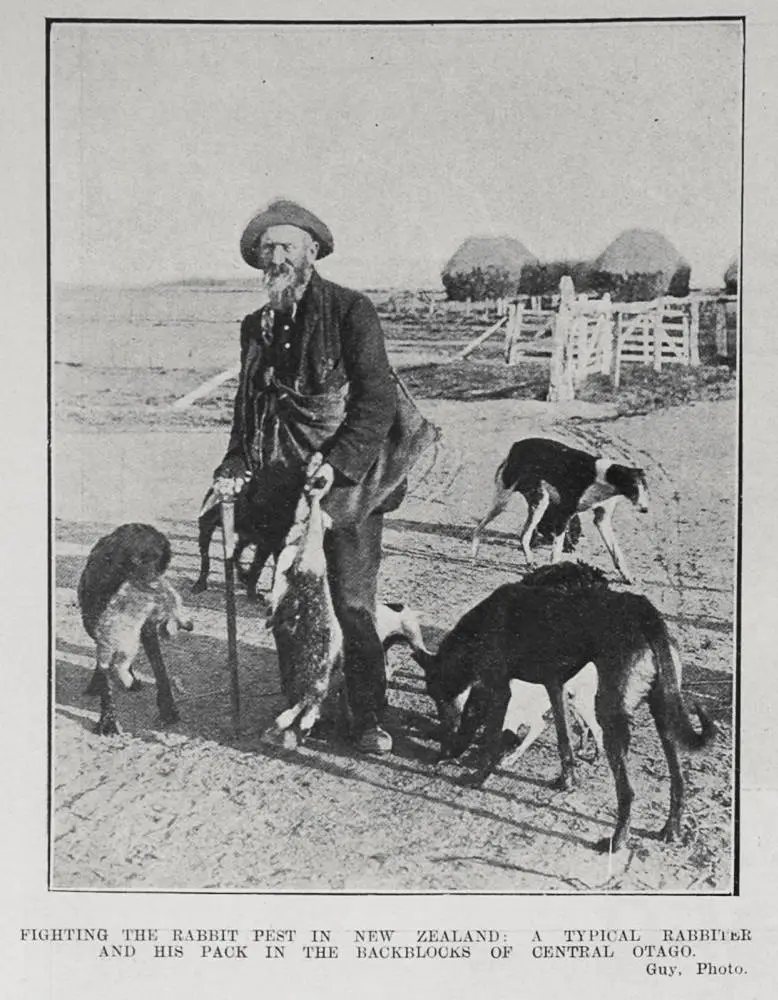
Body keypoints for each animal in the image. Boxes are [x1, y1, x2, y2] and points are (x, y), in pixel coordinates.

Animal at [416, 564, 712, 852]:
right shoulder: (554, 685)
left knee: (627, 792)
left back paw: (617, 841)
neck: (480, 623)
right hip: (664, 711)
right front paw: (566, 780)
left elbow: (490, 740)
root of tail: (644, 612)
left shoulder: (499, 689)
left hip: (611, 715)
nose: (442, 750)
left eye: (436, 695)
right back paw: (671, 829)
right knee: (678, 780)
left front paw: (478, 777)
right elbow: (564, 740)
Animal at [470, 434, 644, 584]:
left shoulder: (602, 521)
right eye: (634, 487)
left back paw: (529, 560)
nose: (645, 509)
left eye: (645, 487)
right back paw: (473, 553)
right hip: (502, 503)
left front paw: (627, 575)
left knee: (524, 535)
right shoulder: (563, 515)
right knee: (479, 528)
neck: (602, 478)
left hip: (539, 503)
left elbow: (616, 553)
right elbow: (556, 551)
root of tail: (516, 445)